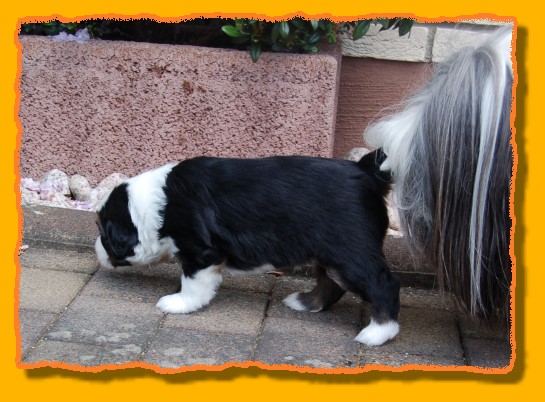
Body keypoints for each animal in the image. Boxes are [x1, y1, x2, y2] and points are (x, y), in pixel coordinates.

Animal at [95, 27, 514, 346]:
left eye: (103, 231)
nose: (96, 250)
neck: (154, 203)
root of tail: (365, 169)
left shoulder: (200, 251)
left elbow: (193, 284)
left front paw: (177, 304)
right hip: (330, 250)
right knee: (332, 283)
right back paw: (305, 303)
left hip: (351, 252)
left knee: (382, 284)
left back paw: (377, 333)